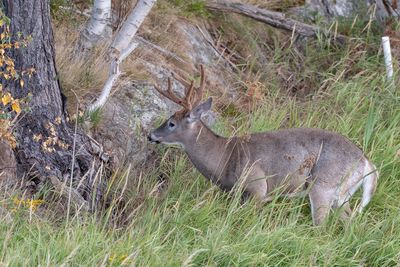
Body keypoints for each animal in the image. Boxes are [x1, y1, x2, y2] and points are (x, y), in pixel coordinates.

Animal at [148, 65, 380, 226]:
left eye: (171, 123)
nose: (151, 135)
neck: (225, 157)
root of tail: (367, 162)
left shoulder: (257, 187)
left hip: (323, 186)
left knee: (322, 227)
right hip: (343, 194)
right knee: (351, 223)